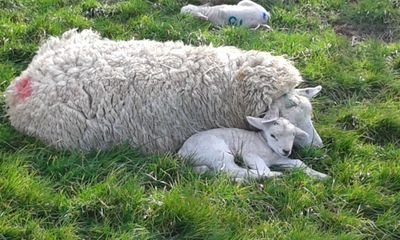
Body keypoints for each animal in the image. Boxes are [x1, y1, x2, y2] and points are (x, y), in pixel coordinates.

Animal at [178, 109, 328, 181]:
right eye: (273, 135)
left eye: (293, 135)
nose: (286, 151)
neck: (265, 144)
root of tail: (181, 153)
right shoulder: (250, 154)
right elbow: (263, 168)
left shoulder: (278, 158)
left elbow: (299, 163)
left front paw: (321, 176)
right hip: (216, 152)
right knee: (231, 169)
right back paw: (274, 175)